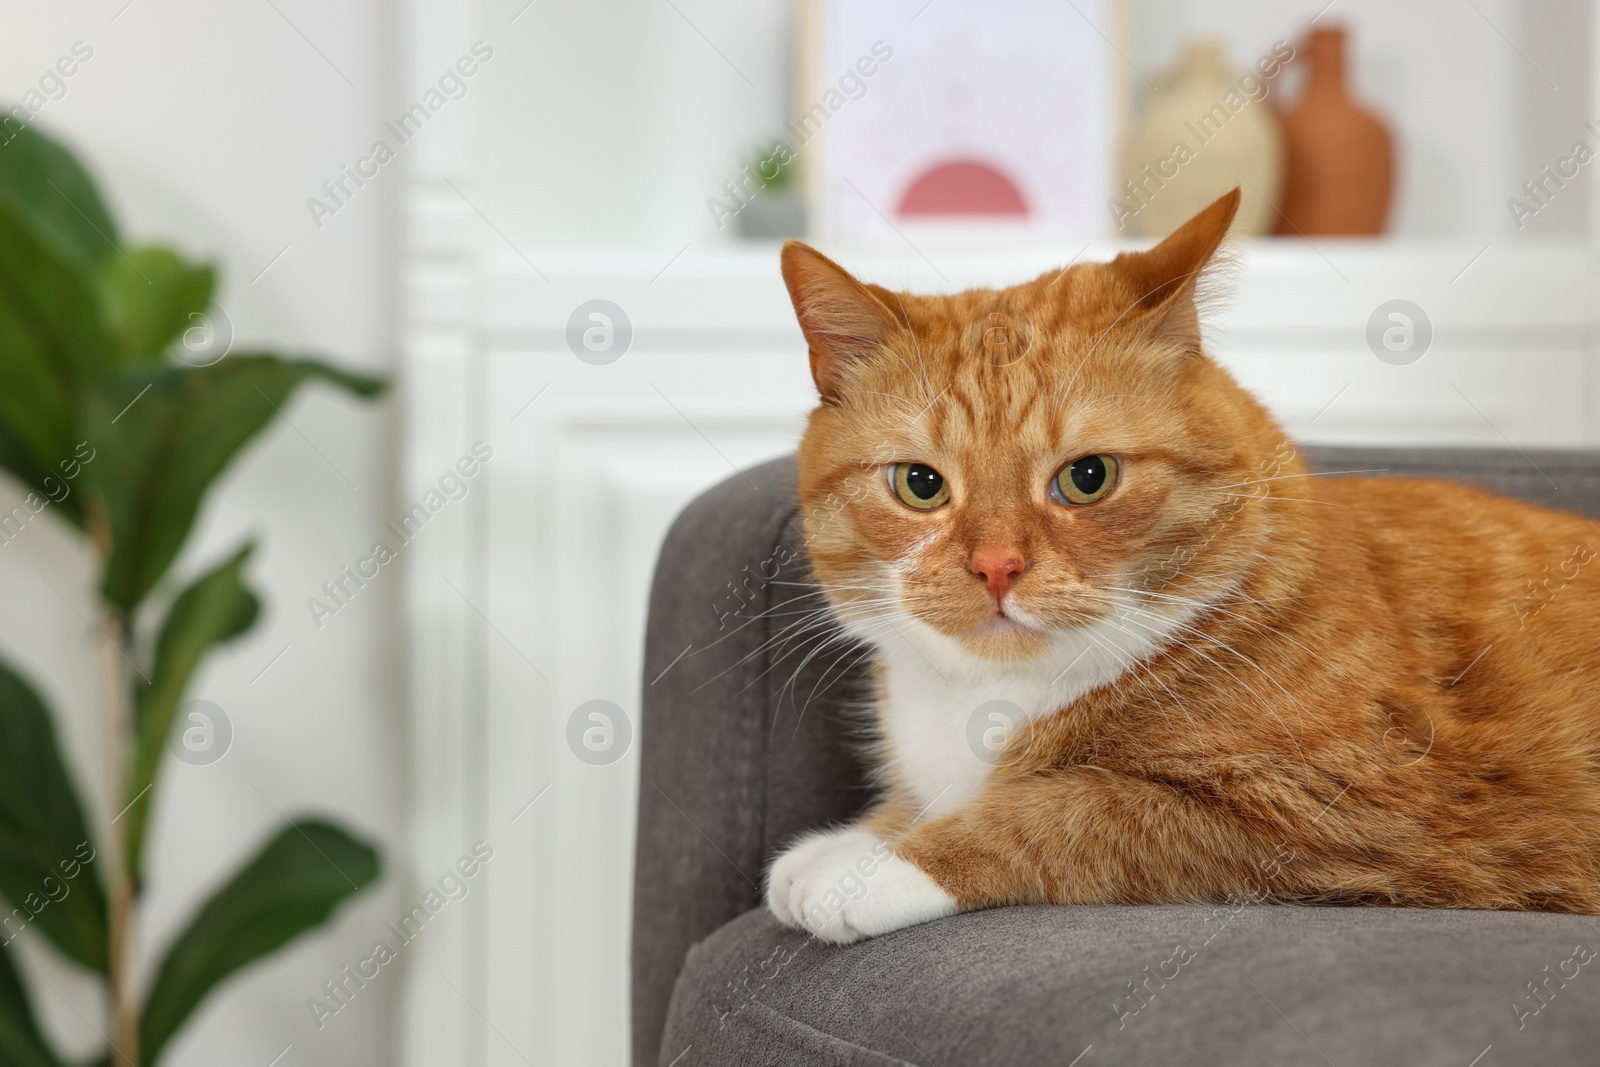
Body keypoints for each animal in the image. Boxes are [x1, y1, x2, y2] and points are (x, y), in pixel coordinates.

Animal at [761, 189, 1600, 940]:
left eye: (1087, 477)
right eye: (920, 484)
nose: (997, 566)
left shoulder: (1338, 803)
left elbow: (1063, 810)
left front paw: (876, 867)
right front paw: (851, 838)